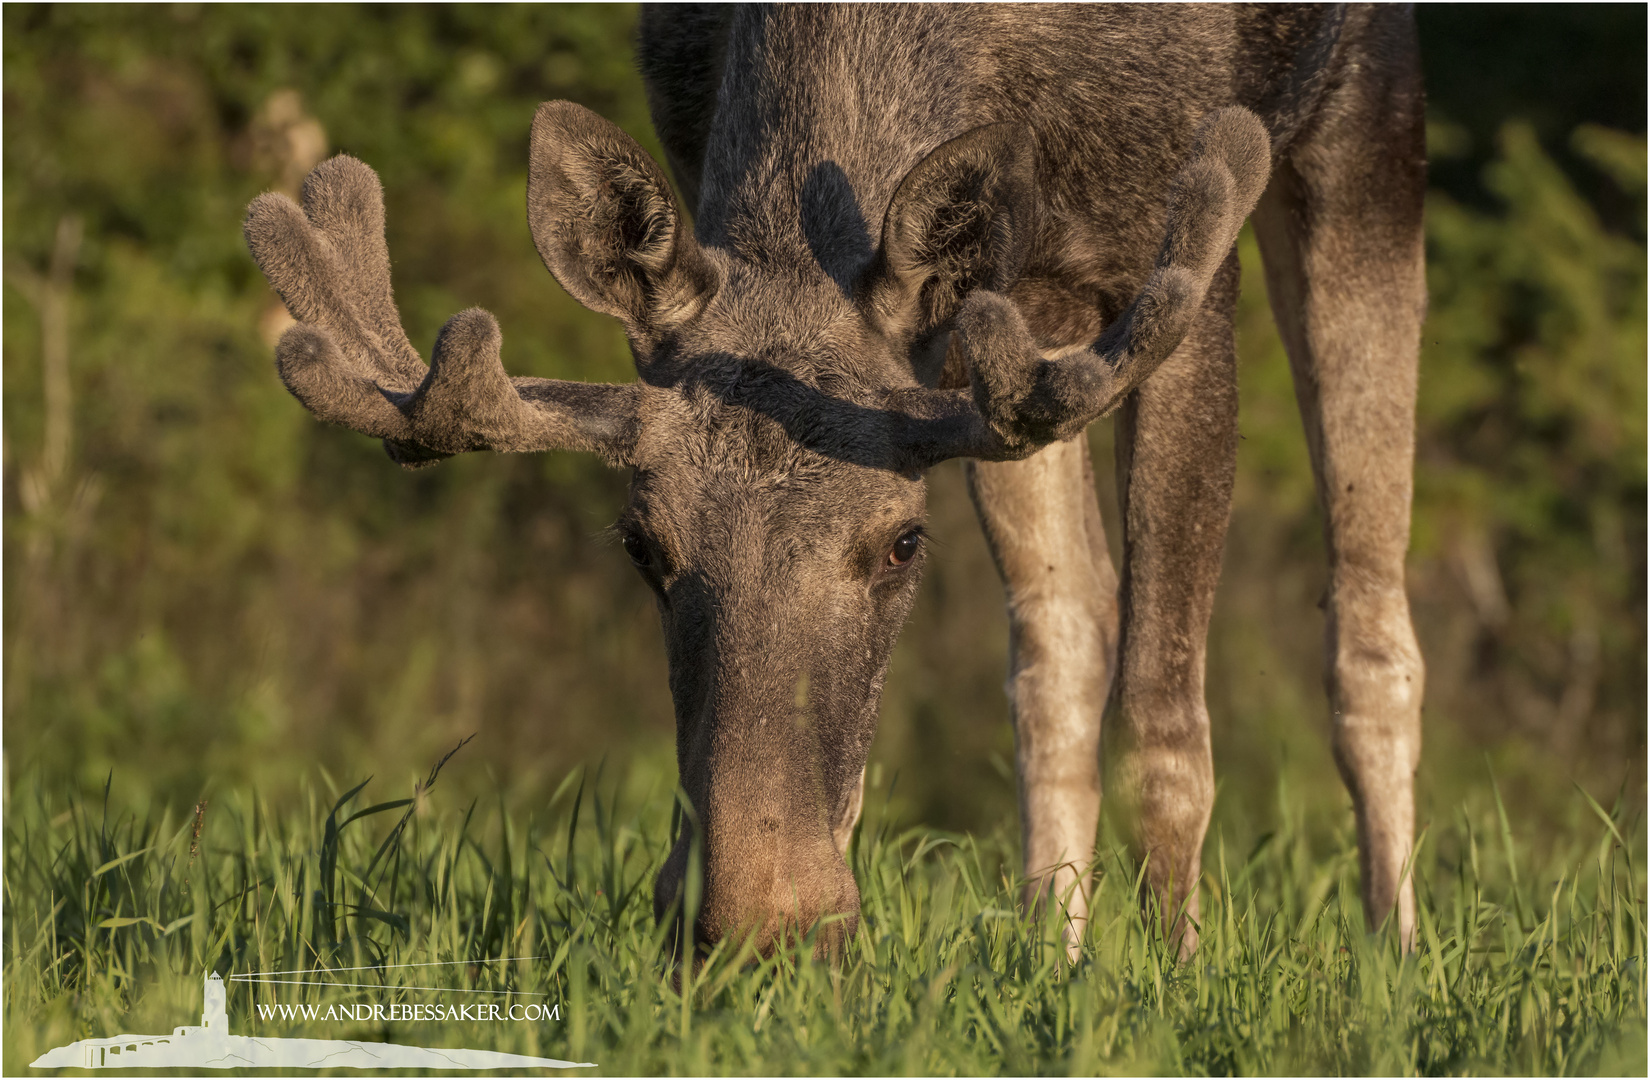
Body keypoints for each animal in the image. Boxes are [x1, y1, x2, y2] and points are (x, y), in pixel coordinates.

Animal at [240, 4, 1419, 956]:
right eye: (642, 543)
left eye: (901, 542)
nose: (763, 925)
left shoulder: (1181, 262)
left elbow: (1168, 720)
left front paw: (1176, 984)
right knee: (1061, 635)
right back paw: (1056, 953)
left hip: (1361, 115)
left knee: (1371, 622)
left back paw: (1392, 957)